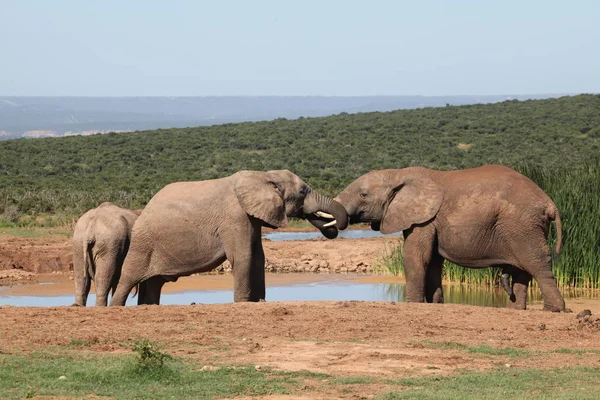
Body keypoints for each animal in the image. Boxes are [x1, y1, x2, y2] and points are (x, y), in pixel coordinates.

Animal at [110, 170, 350, 306]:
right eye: (302, 192)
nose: (333, 227)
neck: (262, 175)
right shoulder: (235, 216)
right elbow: (244, 256)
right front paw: (244, 303)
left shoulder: (250, 218)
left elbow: (258, 258)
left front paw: (259, 302)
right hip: (143, 243)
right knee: (128, 278)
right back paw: (115, 307)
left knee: (154, 283)